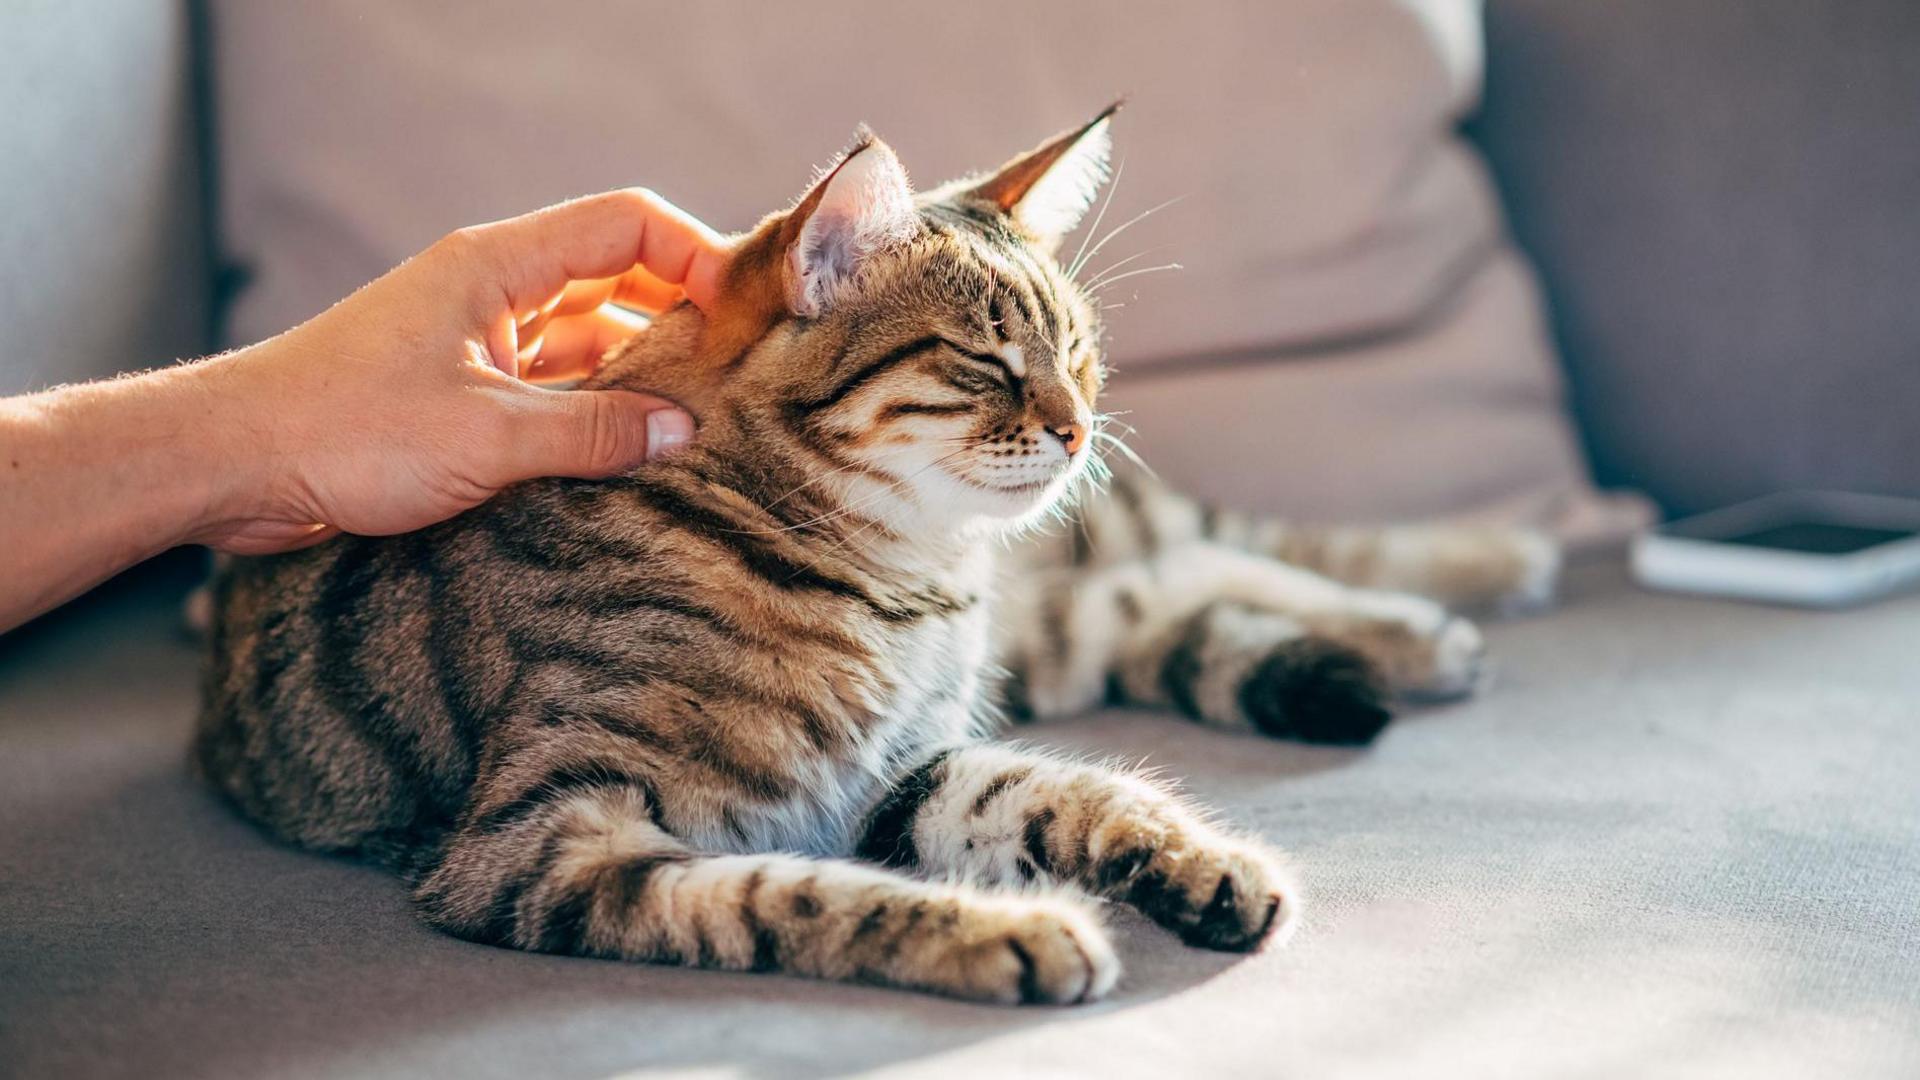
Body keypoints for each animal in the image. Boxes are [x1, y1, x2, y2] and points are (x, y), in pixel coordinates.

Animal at [194, 109, 1551, 999]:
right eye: (988, 360)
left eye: (1079, 350)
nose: (1079, 423)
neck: (904, 582)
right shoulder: (547, 838)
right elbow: (794, 892)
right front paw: (1018, 934)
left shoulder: (906, 761)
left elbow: (1077, 787)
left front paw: (1200, 861)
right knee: (1153, 595)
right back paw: (1427, 631)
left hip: (1107, 538)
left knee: (1226, 549)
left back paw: (1480, 576)